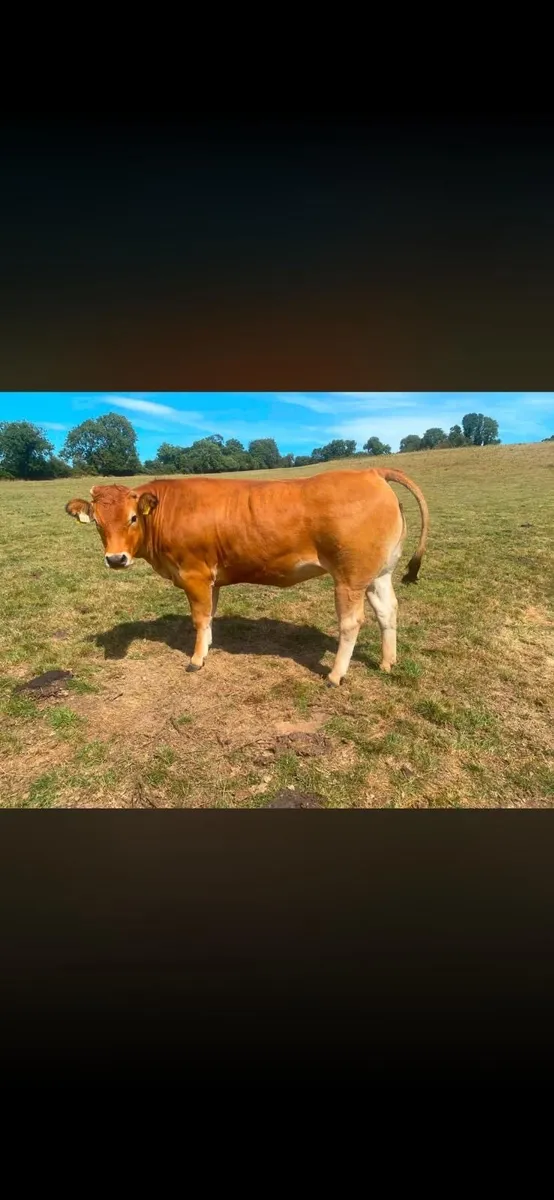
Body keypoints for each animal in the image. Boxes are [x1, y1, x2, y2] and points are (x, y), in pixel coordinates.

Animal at [65, 468, 429, 687]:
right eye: (98, 522)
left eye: (132, 518)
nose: (115, 559)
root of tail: (371, 471)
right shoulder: (210, 578)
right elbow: (210, 616)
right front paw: (208, 647)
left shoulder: (195, 574)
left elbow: (199, 618)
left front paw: (196, 659)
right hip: (379, 573)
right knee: (387, 611)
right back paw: (388, 661)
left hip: (349, 578)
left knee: (351, 622)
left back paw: (335, 674)